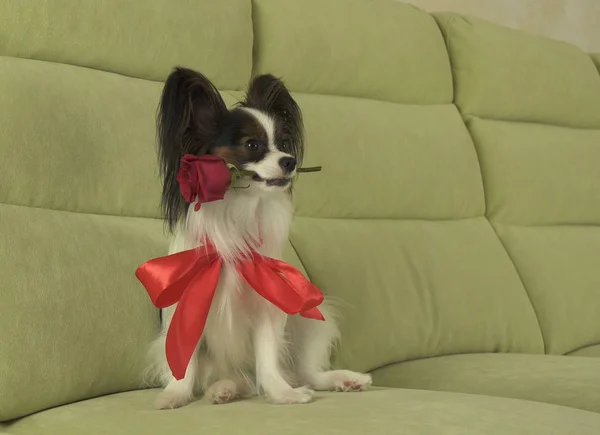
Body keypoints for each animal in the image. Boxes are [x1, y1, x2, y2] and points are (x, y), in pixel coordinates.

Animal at [148, 67, 370, 408]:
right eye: (252, 145)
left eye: (283, 143)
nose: (290, 161)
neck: (238, 212)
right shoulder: (187, 310)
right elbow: (184, 362)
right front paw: (175, 395)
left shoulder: (268, 304)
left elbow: (267, 358)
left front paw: (282, 393)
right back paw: (224, 388)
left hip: (307, 322)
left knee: (305, 373)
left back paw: (343, 379)